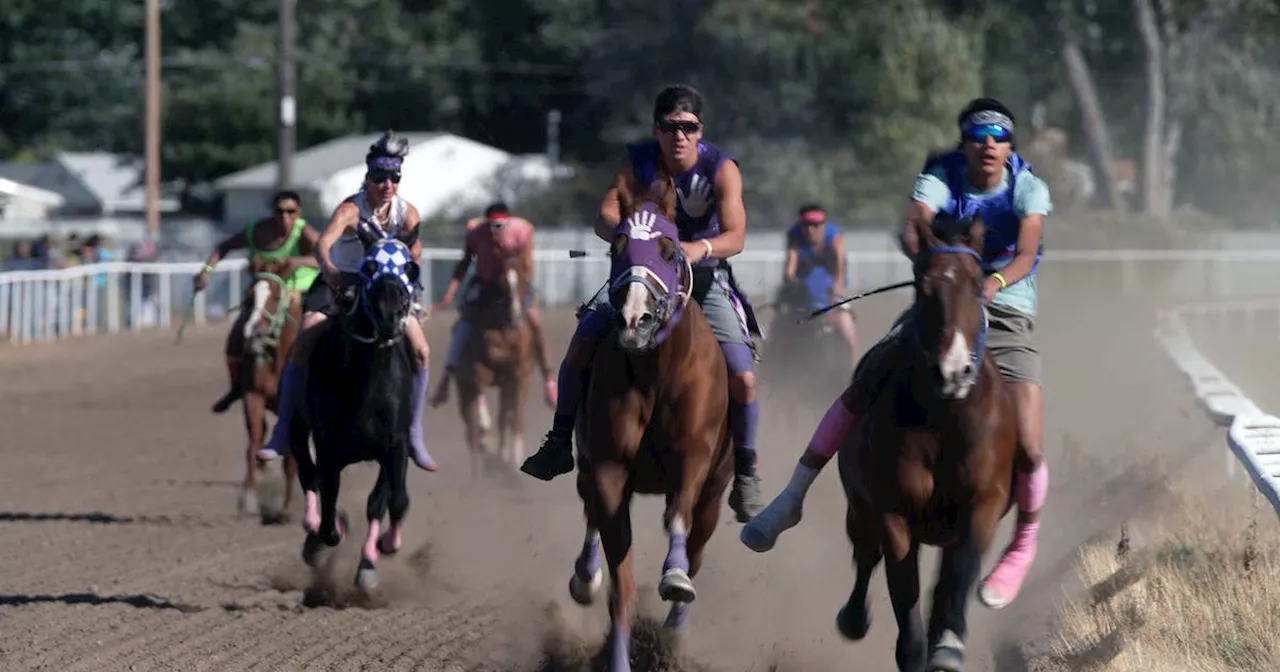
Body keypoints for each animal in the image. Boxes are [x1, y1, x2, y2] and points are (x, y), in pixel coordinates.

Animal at [218, 254, 303, 522]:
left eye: (275, 296)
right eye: (248, 296)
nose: (254, 332)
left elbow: (292, 458)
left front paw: (286, 507)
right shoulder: (253, 396)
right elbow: (253, 442)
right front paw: (248, 499)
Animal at [285, 227, 419, 588]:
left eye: (410, 268)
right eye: (370, 266)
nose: (390, 316)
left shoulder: (396, 443)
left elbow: (391, 501)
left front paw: (380, 552)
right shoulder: (328, 444)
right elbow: (328, 503)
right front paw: (328, 534)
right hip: (297, 426)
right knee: (308, 474)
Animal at [450, 262, 535, 476]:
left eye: (523, 282)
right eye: (501, 286)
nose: (514, 315)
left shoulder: (519, 376)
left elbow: (516, 414)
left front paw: (515, 457)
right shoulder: (478, 370)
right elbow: (480, 395)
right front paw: (485, 433)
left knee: (503, 417)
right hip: (463, 390)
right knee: (470, 428)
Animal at [568, 168, 737, 670]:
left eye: (668, 249)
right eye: (617, 246)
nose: (634, 320)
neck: (656, 374)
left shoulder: (693, 460)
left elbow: (676, 519)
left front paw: (675, 578)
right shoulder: (607, 468)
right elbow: (619, 584)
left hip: (716, 494)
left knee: (696, 541)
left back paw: (673, 632)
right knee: (589, 515)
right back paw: (585, 576)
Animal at [829, 213, 1018, 670]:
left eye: (977, 282)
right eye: (922, 283)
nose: (951, 371)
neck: (944, 420)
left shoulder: (983, 502)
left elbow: (960, 573)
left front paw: (947, 646)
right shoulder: (893, 511)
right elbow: (902, 586)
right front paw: (915, 650)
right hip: (859, 504)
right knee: (865, 554)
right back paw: (854, 617)